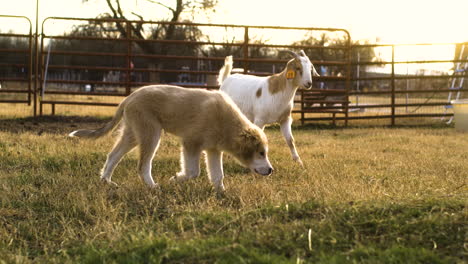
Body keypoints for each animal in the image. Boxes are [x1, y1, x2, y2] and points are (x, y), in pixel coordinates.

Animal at [70, 85, 274, 192]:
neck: (227, 122)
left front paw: (221, 194)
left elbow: (217, 175)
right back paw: (153, 187)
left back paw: (106, 181)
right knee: (142, 165)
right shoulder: (191, 143)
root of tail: (129, 98)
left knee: (113, 156)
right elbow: (193, 172)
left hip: (133, 134)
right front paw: (176, 179)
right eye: (261, 153)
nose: (271, 170)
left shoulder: (213, 150)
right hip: (151, 133)